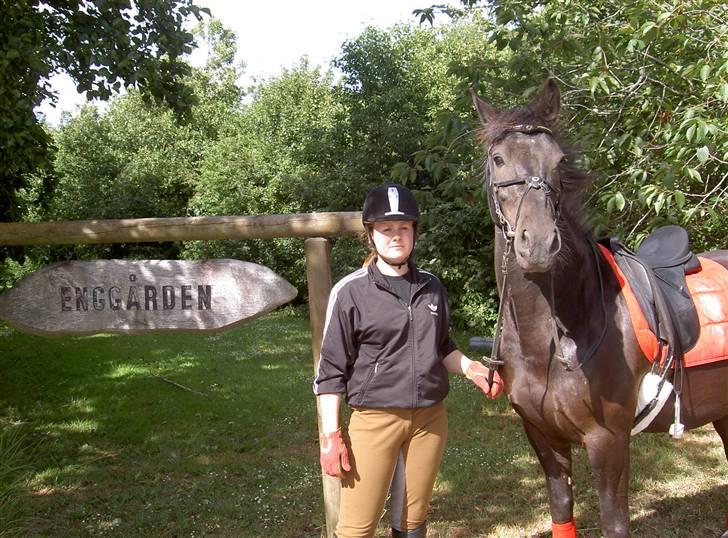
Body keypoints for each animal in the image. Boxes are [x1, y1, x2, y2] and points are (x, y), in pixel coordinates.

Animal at [470, 79, 728, 536]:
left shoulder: (608, 441)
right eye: (498, 159)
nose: (538, 244)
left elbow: (615, 523)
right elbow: (561, 513)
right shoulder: (543, 437)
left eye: (557, 161)